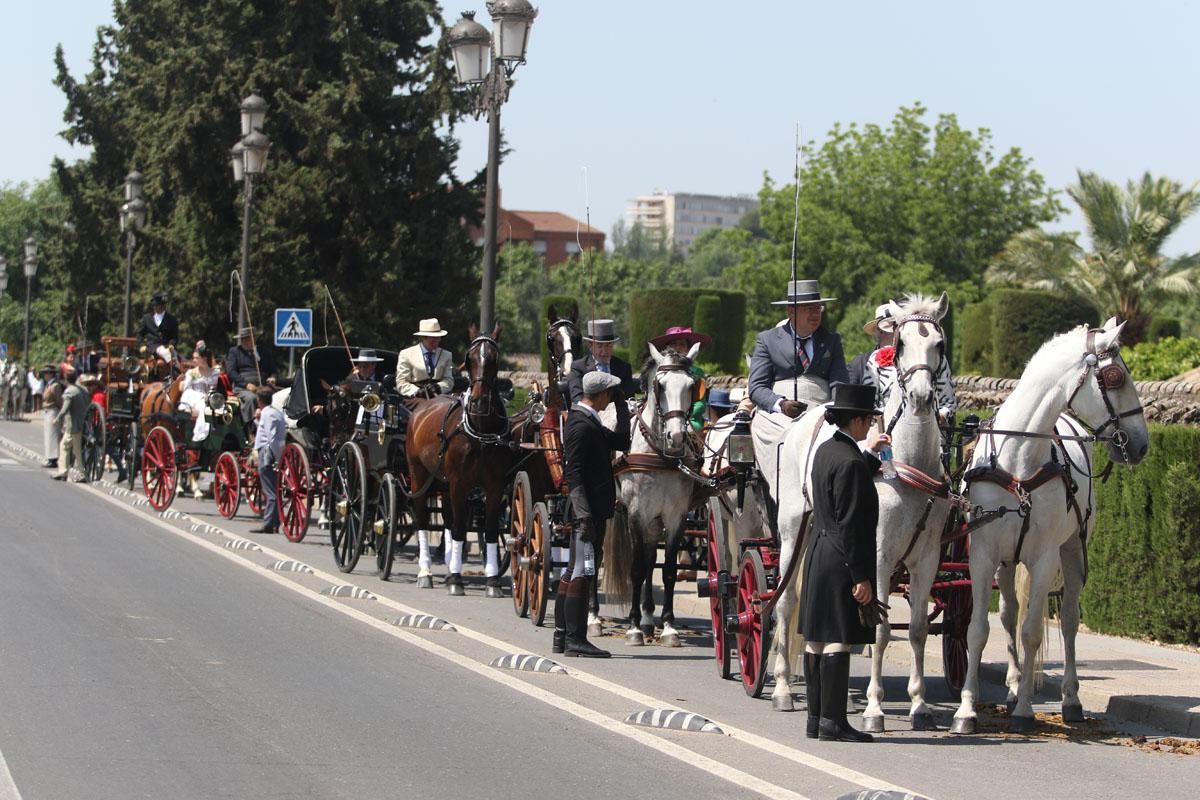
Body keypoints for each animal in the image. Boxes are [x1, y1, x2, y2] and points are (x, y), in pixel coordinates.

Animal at [405, 323, 513, 594]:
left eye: (494, 358)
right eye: (470, 358)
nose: (479, 401)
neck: (482, 432)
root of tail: (425, 402)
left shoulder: (495, 486)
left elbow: (490, 529)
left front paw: (492, 579)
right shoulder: (459, 483)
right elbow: (459, 529)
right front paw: (456, 578)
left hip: (442, 482)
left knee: (446, 517)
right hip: (419, 476)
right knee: (422, 520)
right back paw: (426, 572)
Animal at [604, 340, 700, 647]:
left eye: (691, 386)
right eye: (660, 385)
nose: (677, 437)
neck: (658, 454)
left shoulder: (675, 516)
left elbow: (666, 570)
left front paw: (668, 627)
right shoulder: (637, 512)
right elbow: (635, 569)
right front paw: (633, 627)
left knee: (649, 560)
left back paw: (648, 618)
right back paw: (594, 618)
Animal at [950, 316, 1147, 734]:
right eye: (1116, 376)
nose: (1141, 445)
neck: (1018, 461)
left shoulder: (1043, 559)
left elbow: (1033, 632)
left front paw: (1025, 710)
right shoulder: (983, 555)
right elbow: (978, 630)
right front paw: (967, 709)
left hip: (1072, 551)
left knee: (1069, 620)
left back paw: (1069, 699)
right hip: (1007, 563)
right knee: (1008, 614)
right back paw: (1011, 688)